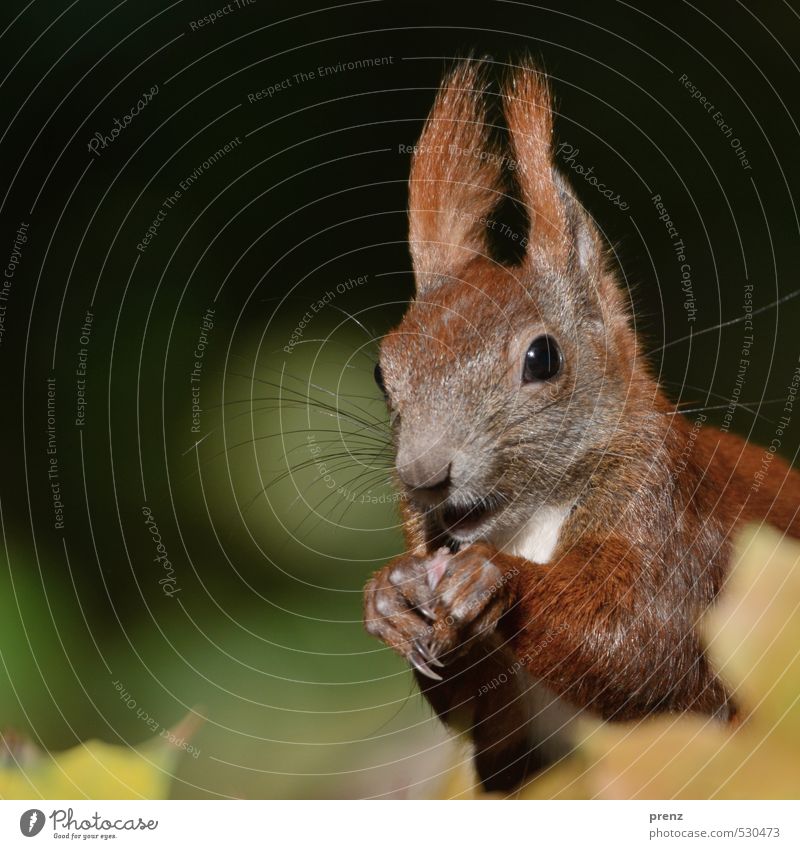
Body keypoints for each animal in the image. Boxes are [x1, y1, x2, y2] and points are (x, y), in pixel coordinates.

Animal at [360, 56, 800, 792]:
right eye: (380, 370)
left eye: (543, 357)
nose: (423, 475)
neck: (528, 521)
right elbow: (480, 713)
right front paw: (390, 598)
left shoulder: (667, 515)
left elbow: (645, 646)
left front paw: (495, 581)